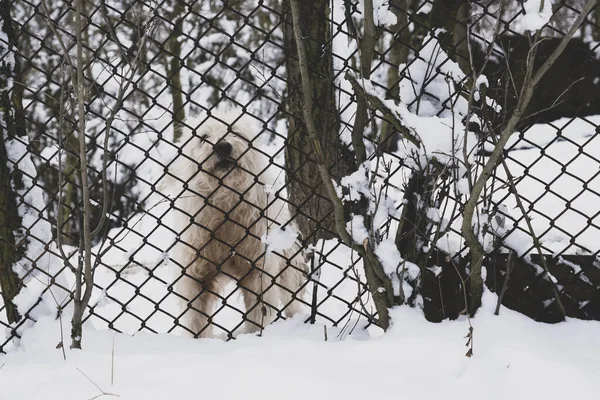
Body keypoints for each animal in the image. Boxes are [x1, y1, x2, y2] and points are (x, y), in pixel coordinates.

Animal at [163, 106, 308, 338]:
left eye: (235, 133)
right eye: (204, 137)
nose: (222, 146)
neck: (226, 206)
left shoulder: (258, 269)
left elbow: (259, 311)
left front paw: (255, 334)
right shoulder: (194, 275)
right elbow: (196, 319)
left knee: (291, 299)